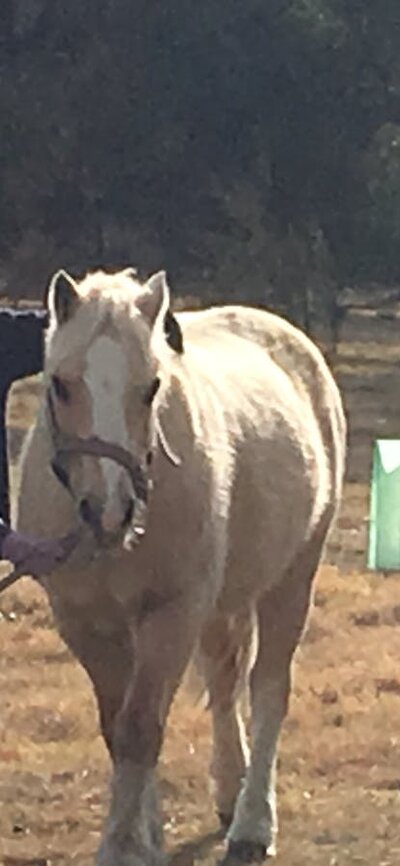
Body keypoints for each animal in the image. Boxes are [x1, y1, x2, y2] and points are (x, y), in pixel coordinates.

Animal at [16, 266, 346, 860]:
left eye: (152, 387)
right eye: (60, 383)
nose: (109, 510)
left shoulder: (170, 615)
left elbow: (141, 728)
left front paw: (125, 846)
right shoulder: (84, 623)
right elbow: (117, 728)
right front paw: (144, 835)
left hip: (293, 578)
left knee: (268, 689)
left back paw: (252, 823)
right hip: (222, 604)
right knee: (225, 681)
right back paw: (230, 791)